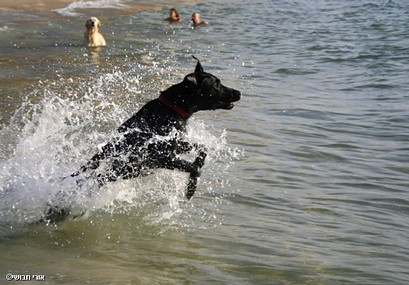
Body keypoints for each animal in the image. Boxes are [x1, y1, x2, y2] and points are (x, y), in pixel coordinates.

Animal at [43, 57, 241, 222]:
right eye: (217, 83)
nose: (238, 92)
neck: (172, 109)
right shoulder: (160, 156)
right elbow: (194, 167)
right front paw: (190, 188)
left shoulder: (176, 146)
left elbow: (203, 148)